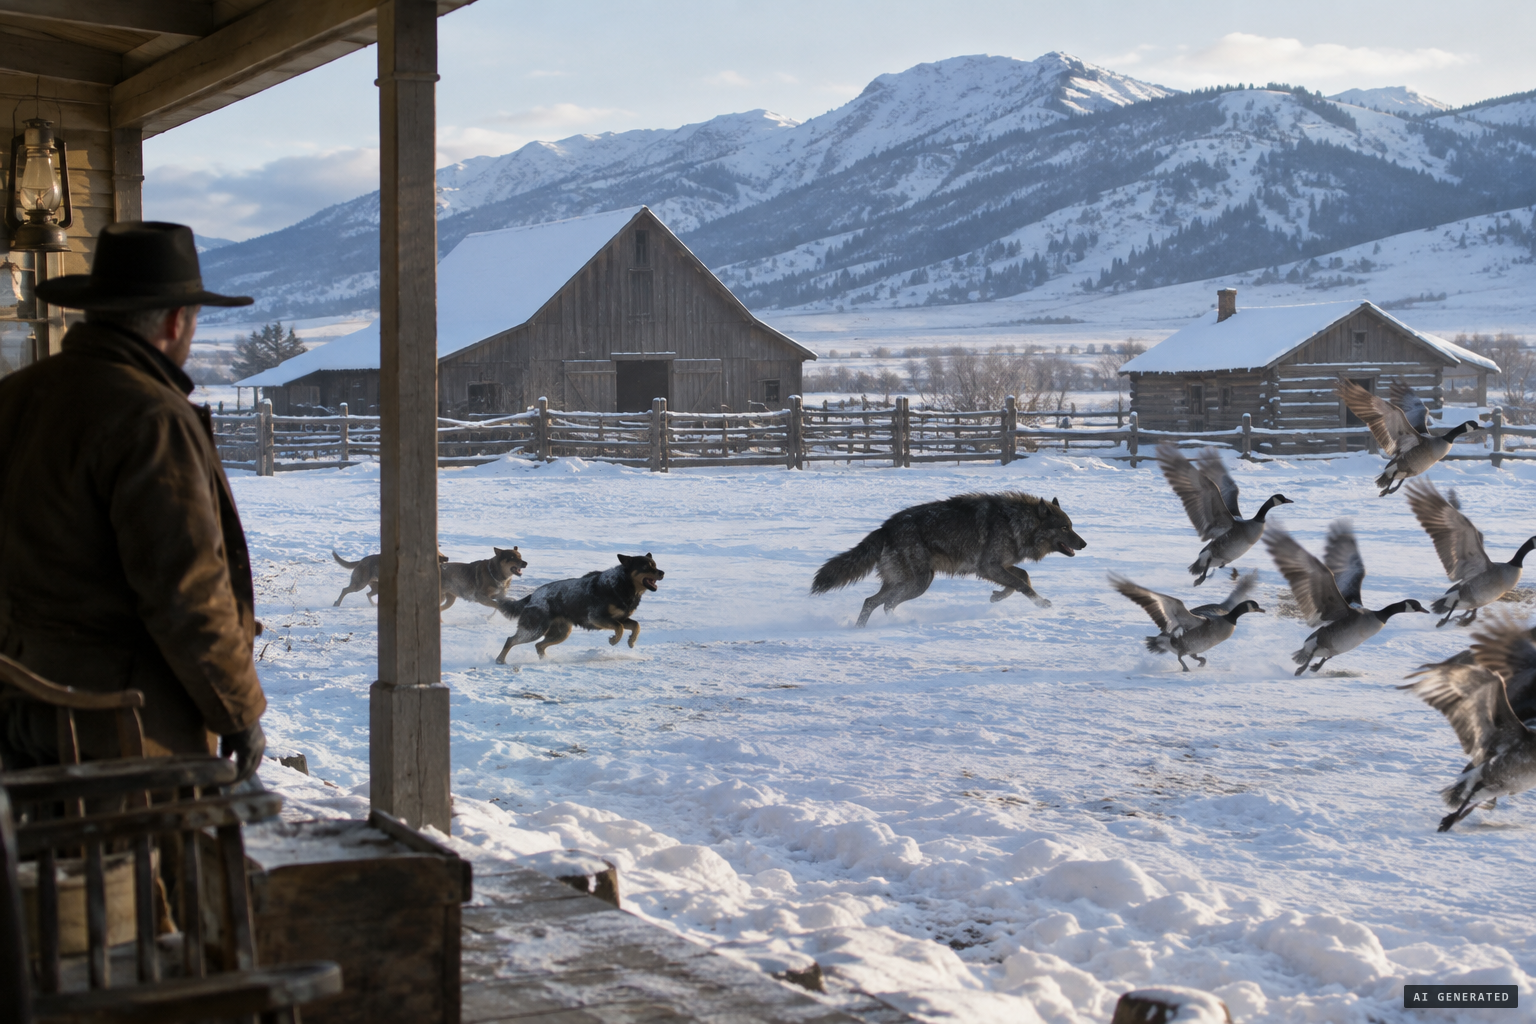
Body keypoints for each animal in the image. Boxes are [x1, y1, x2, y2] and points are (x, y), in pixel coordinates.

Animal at [495, 553, 664, 662]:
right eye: (646, 566)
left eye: (655, 565)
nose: (662, 572)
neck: (623, 584)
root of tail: (533, 595)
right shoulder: (597, 617)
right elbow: (620, 627)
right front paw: (614, 640)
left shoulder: (621, 618)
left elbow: (636, 625)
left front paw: (631, 641)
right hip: (534, 629)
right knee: (511, 640)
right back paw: (500, 660)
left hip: (561, 632)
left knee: (539, 645)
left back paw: (546, 660)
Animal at [811, 492, 1087, 627]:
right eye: (1065, 528)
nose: (1084, 544)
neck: (1016, 522)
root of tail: (885, 528)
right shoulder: (988, 567)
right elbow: (1021, 584)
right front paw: (1041, 604)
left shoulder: (1000, 566)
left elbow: (1022, 578)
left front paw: (997, 596)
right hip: (920, 583)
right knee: (886, 604)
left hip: (905, 582)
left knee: (871, 602)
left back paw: (861, 628)